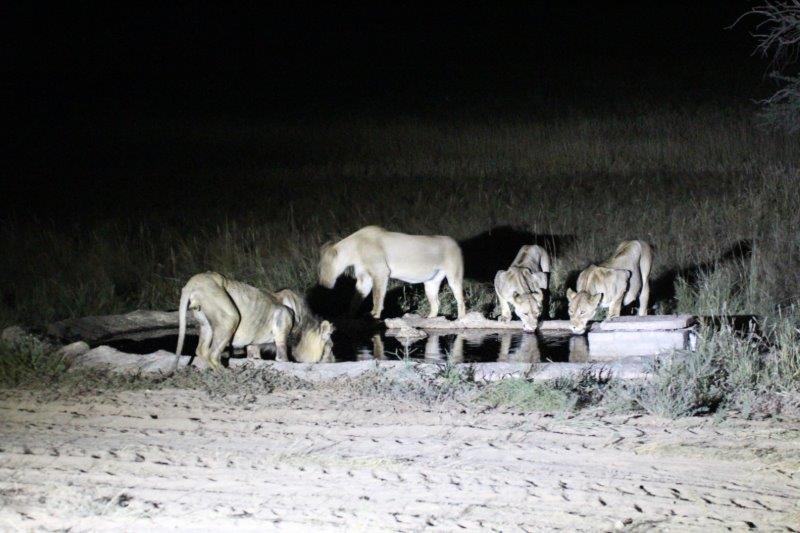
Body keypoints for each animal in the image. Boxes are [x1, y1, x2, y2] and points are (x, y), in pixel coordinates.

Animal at [318, 223, 466, 318]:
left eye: (323, 268)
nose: (322, 284)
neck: (354, 249)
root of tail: (454, 241)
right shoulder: (364, 277)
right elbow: (356, 298)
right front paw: (349, 314)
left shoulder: (381, 272)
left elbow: (377, 296)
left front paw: (374, 314)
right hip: (431, 281)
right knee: (436, 303)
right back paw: (430, 318)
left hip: (454, 276)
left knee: (461, 300)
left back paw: (461, 319)